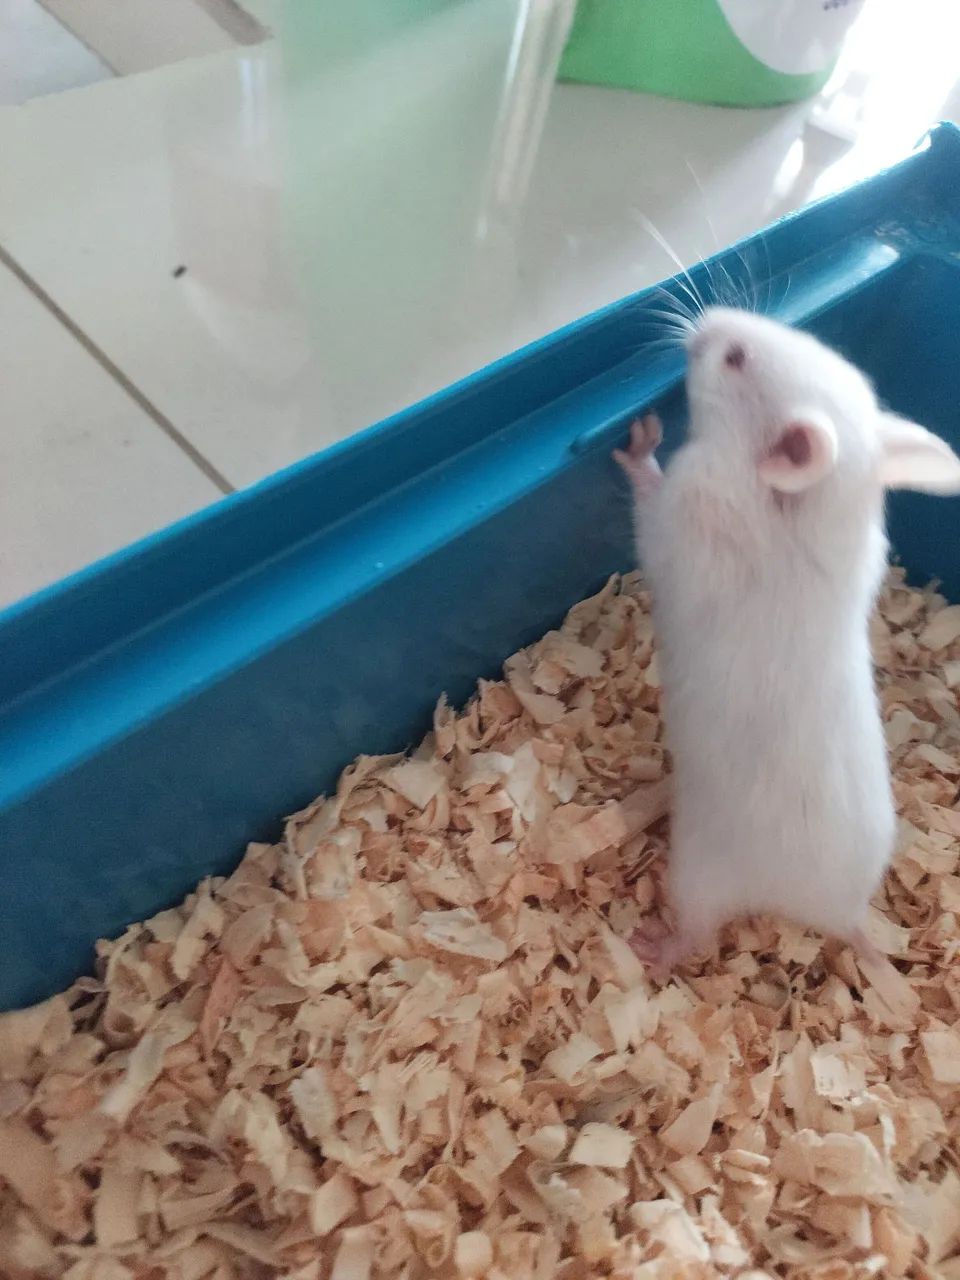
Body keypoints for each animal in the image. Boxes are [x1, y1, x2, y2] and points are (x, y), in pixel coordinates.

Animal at [615, 307, 960, 975]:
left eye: (736, 359)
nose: (703, 320)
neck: (810, 508)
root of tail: (839, 914)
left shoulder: (678, 519)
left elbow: (649, 493)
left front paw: (639, 438)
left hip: (698, 874)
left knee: (694, 933)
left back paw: (647, 948)